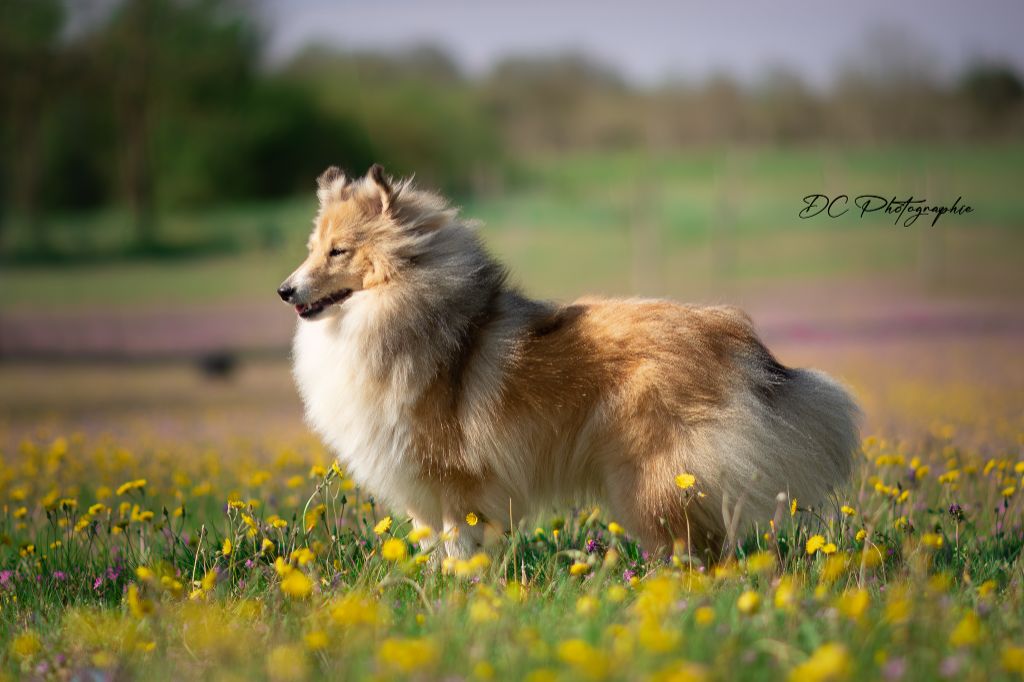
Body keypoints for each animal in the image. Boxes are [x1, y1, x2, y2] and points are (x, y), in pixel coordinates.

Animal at [276, 163, 860, 557]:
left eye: (339, 251)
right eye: (311, 248)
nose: (284, 290)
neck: (389, 310)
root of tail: (732, 331)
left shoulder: (456, 484)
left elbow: (460, 550)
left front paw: (460, 597)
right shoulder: (420, 491)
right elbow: (434, 550)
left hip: (651, 483)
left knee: (696, 554)